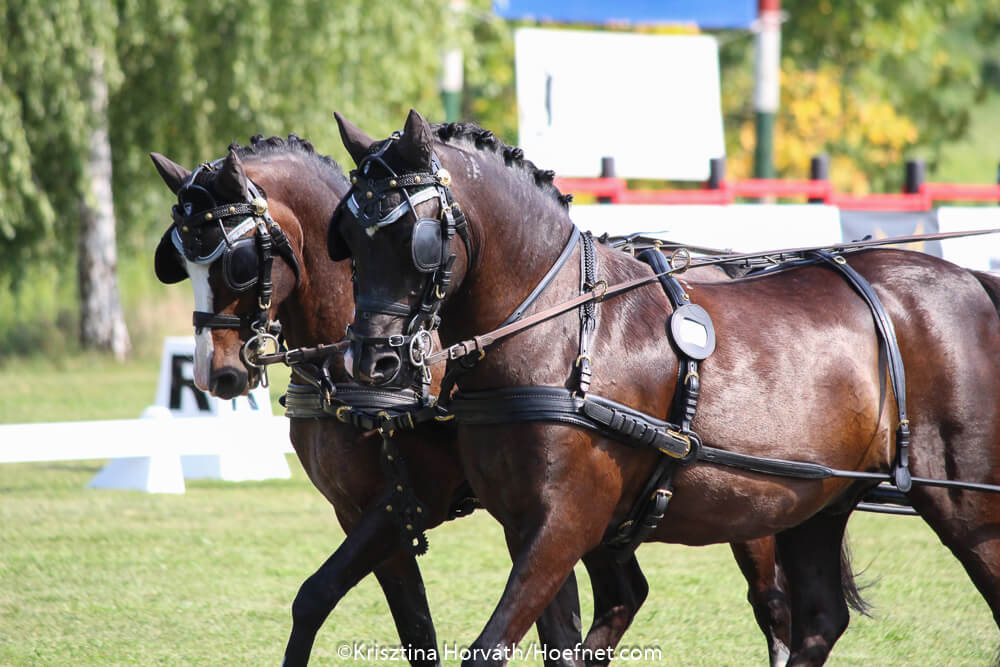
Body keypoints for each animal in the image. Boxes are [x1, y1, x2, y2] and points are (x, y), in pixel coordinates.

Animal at [148, 134, 800, 664]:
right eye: (179, 259)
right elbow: (337, 604)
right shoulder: (364, 510)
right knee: (626, 594)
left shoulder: (417, 496)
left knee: (772, 605)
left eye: (236, 261)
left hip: (741, 506)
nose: (215, 372)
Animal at [330, 112, 1000, 664]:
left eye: (414, 239)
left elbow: (492, 646)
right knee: (818, 621)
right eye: (349, 240)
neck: (559, 328)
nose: (373, 362)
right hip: (816, 500)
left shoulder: (564, 523)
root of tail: (970, 278)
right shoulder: (525, 525)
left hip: (964, 504)